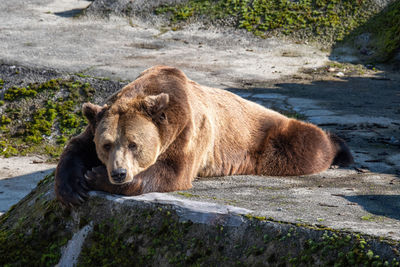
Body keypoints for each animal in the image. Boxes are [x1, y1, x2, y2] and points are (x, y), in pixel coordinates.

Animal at [54, 65, 352, 207]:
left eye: (133, 144)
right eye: (106, 144)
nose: (118, 173)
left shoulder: (188, 128)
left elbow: (173, 171)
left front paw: (95, 176)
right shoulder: (99, 121)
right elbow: (76, 147)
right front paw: (73, 188)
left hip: (267, 137)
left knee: (305, 145)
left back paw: (339, 148)